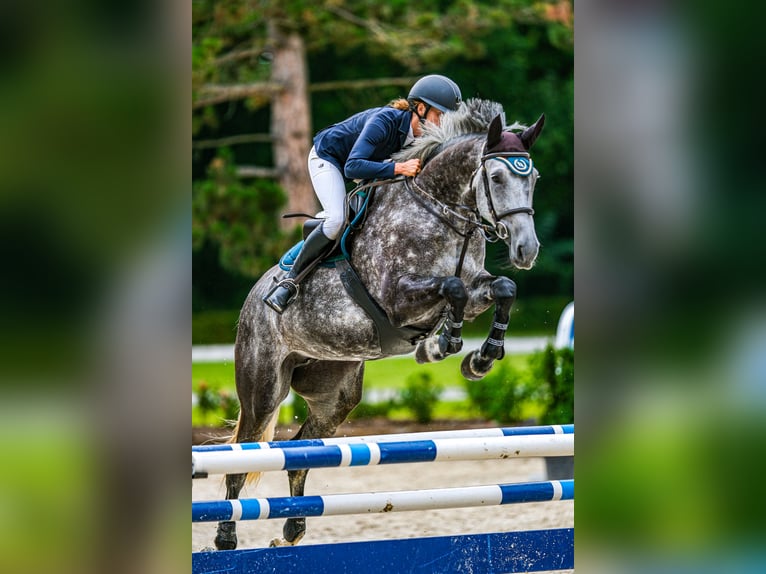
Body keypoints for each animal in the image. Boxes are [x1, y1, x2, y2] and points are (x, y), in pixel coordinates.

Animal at [214, 99, 545, 550]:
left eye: (533, 179)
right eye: (495, 176)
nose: (526, 249)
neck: (444, 214)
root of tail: (252, 301)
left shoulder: (479, 286)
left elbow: (502, 288)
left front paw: (479, 358)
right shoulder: (397, 300)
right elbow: (453, 288)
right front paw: (445, 343)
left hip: (335, 393)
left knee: (299, 452)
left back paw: (293, 528)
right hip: (263, 387)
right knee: (243, 453)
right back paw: (226, 537)